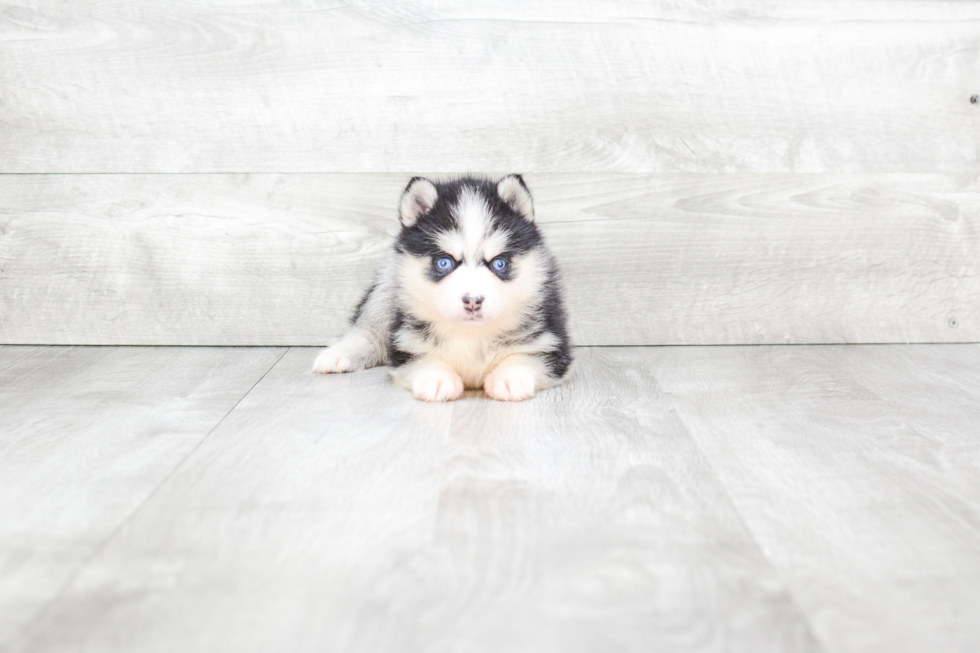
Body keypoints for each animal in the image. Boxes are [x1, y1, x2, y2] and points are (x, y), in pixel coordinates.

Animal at [314, 172, 576, 402]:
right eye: (444, 262)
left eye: (499, 263)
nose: (473, 301)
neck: (471, 334)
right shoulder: (406, 342)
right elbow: (422, 357)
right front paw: (436, 379)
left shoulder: (551, 341)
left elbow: (528, 356)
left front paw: (511, 378)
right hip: (387, 287)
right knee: (369, 332)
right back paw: (337, 355)